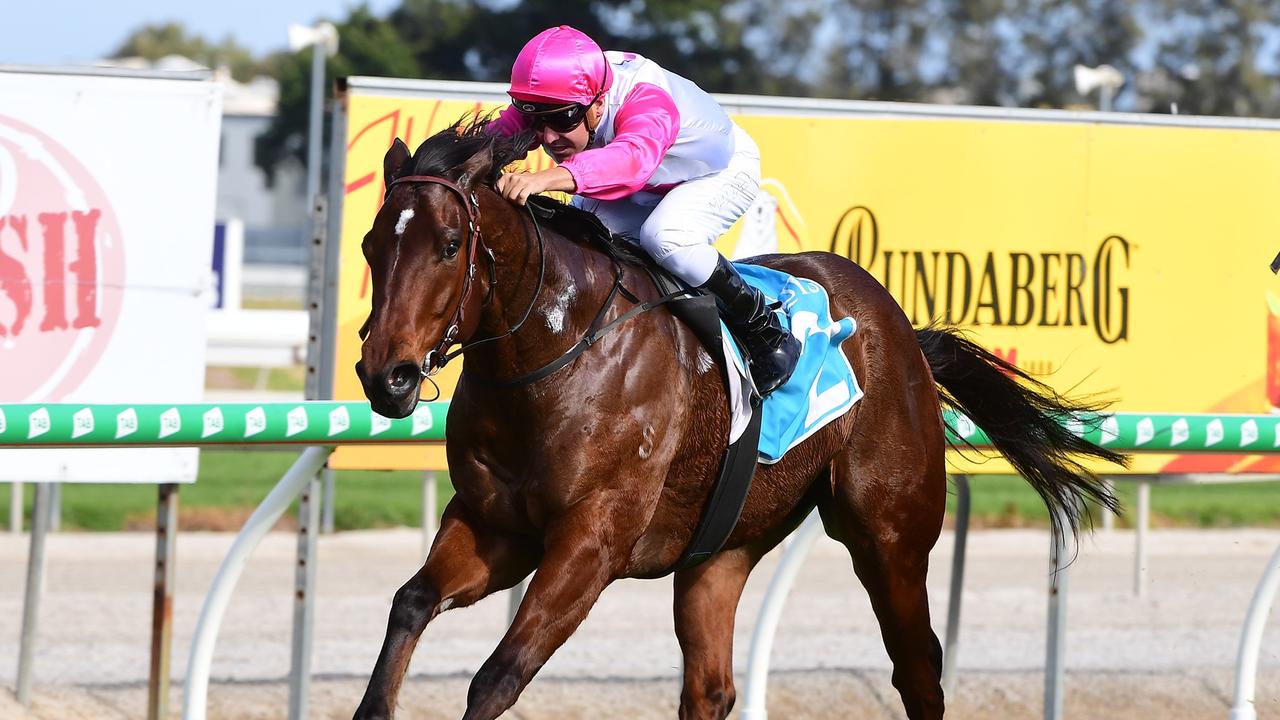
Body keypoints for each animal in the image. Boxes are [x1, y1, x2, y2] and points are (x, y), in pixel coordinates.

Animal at [350, 119, 1121, 717]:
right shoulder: (496, 525)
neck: (551, 347)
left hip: (889, 535)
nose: (386, 376)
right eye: (370, 246)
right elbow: (409, 603)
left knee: (918, 671)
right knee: (710, 688)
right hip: (723, 548)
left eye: (450, 246)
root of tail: (902, 329)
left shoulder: (591, 539)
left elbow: (497, 676)